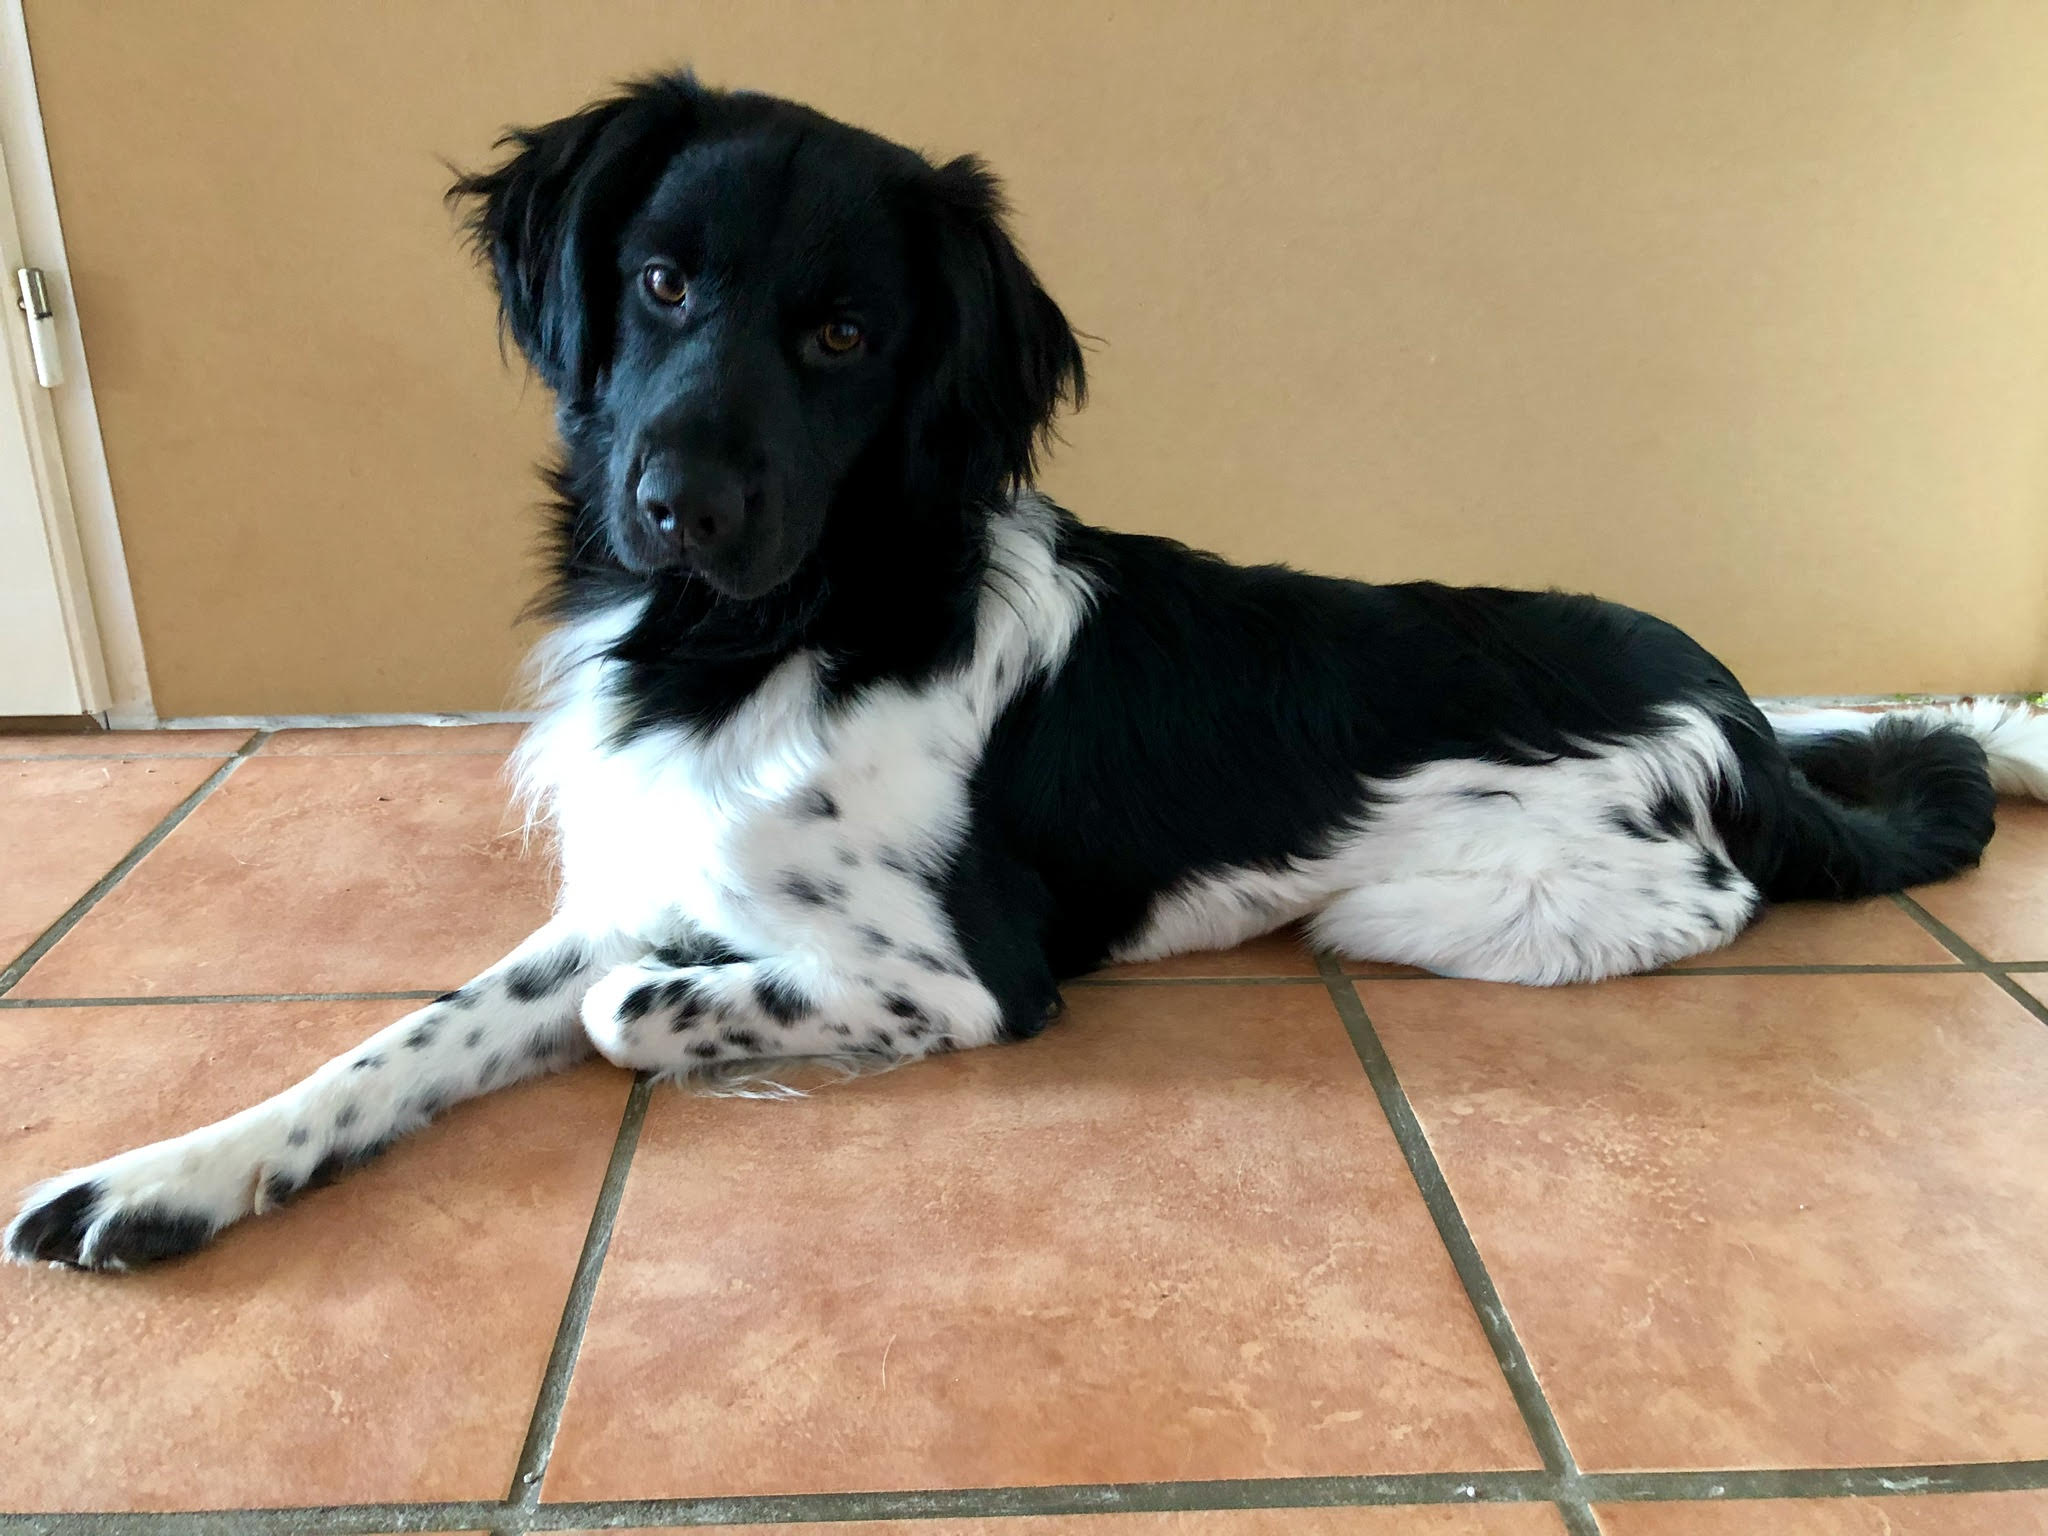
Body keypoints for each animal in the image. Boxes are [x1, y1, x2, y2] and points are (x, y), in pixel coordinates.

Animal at [10, 74, 2047, 1272]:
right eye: (660, 280)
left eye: (845, 333)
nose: (674, 502)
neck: (756, 634)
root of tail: (1733, 723)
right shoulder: (629, 878)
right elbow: (400, 1041)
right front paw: (185, 1171)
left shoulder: (957, 978)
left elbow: (626, 1013)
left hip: (1427, 904)